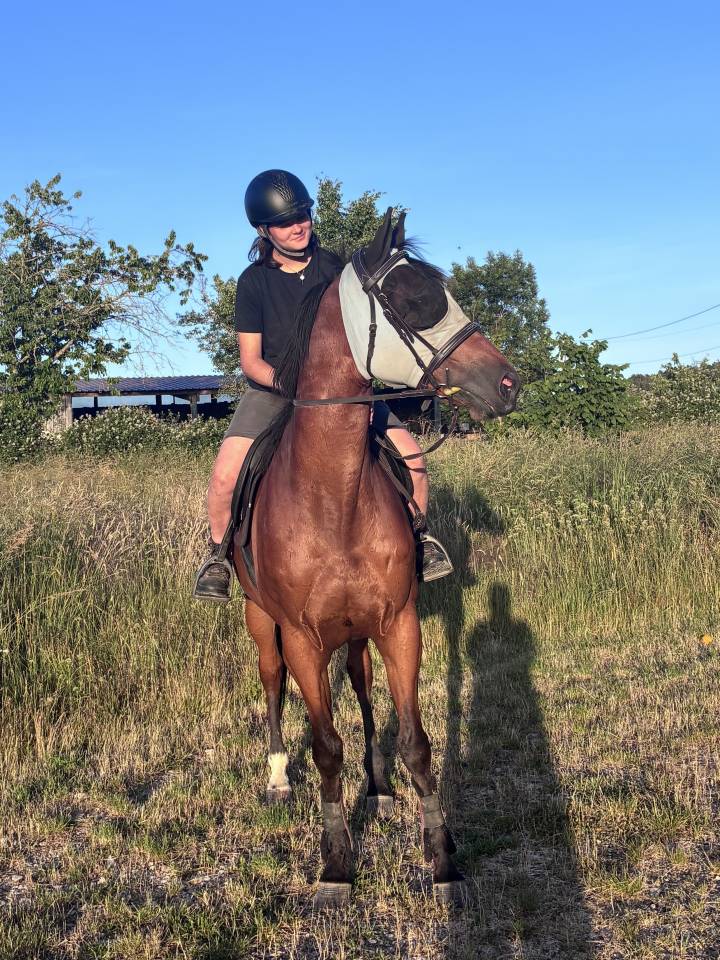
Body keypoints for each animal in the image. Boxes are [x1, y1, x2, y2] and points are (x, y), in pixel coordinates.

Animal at [235, 209, 520, 906]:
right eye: (414, 300)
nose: (508, 383)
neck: (331, 494)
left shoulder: (399, 623)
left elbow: (415, 742)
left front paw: (441, 857)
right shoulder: (302, 638)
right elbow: (324, 747)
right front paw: (337, 864)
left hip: (359, 633)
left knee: (363, 690)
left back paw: (380, 788)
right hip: (262, 624)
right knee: (273, 687)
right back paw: (279, 779)